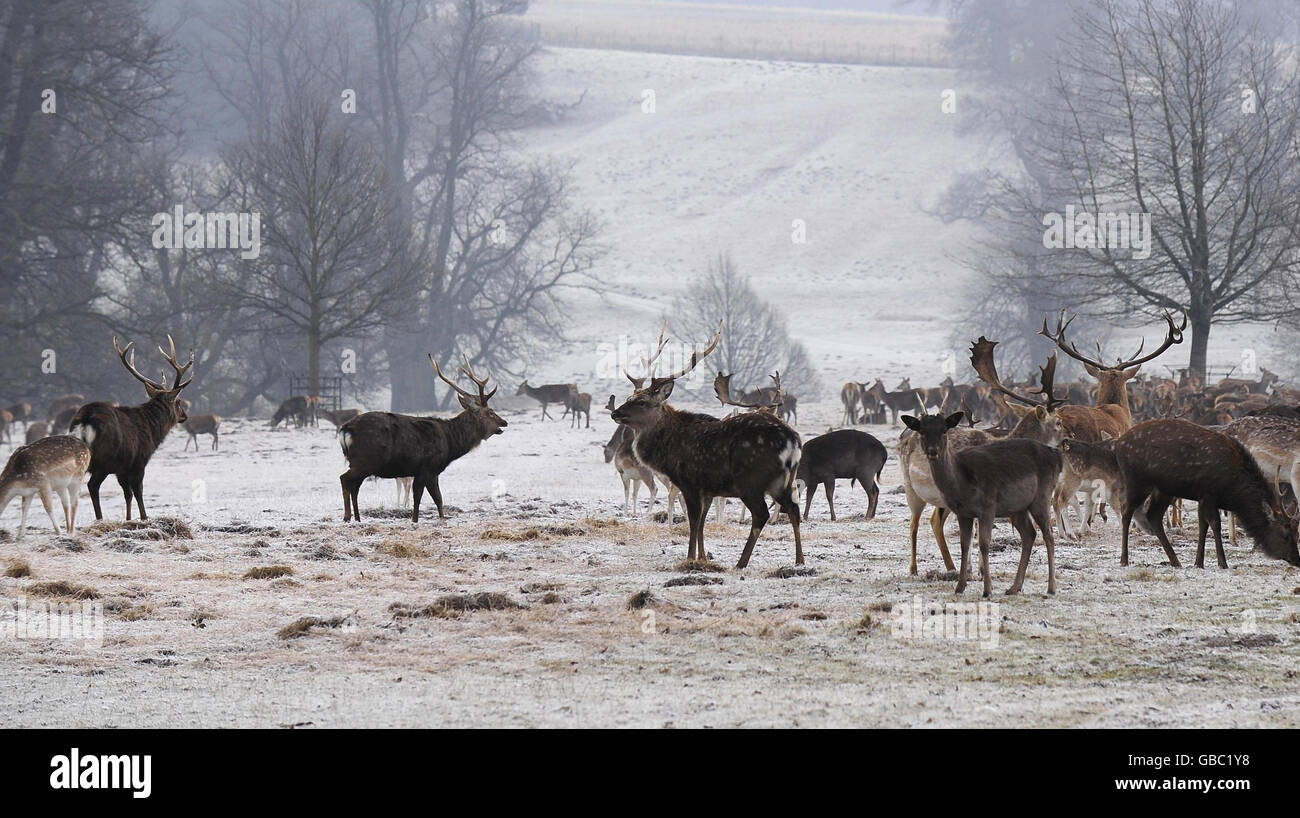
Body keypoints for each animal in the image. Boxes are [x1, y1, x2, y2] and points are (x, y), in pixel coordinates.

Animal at [69, 335, 192, 520]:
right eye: (178, 401)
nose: (185, 416)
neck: (153, 431)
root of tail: (86, 419)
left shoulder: (122, 470)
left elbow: (127, 494)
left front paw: (127, 519)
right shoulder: (138, 462)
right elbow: (138, 491)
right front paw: (144, 517)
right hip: (104, 460)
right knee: (92, 485)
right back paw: (100, 519)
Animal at [338, 353, 504, 520]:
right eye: (490, 412)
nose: (504, 422)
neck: (450, 443)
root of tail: (345, 430)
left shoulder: (428, 472)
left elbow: (437, 499)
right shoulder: (428, 467)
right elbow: (425, 498)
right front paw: (419, 520)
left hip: (358, 462)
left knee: (354, 486)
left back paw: (357, 518)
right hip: (367, 459)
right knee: (344, 479)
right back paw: (346, 517)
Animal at [608, 321, 800, 567]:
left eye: (641, 402)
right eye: (629, 397)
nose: (615, 413)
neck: (667, 452)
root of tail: (793, 441)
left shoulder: (690, 482)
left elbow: (693, 520)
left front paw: (690, 559)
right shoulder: (709, 489)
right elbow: (702, 523)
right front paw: (702, 557)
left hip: (751, 480)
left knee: (761, 514)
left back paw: (741, 563)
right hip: (783, 480)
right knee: (793, 508)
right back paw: (799, 560)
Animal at [904, 410, 1066, 595]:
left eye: (944, 430)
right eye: (922, 431)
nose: (933, 451)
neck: (961, 480)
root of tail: (1057, 457)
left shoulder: (988, 507)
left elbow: (983, 543)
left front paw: (987, 589)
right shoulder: (962, 513)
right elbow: (964, 544)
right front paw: (960, 587)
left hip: (1041, 497)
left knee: (1048, 534)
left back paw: (1051, 587)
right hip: (1018, 508)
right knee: (1029, 534)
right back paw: (1014, 587)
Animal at [1107, 421, 1300, 567]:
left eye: (1297, 534)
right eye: (1285, 534)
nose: (1296, 559)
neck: (1233, 488)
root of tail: (1118, 445)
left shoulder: (1201, 497)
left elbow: (1202, 526)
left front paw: (1198, 563)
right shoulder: (1209, 493)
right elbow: (1215, 524)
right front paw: (1222, 563)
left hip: (1164, 489)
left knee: (1153, 515)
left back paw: (1175, 560)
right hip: (1136, 480)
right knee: (1126, 512)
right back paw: (1124, 559)